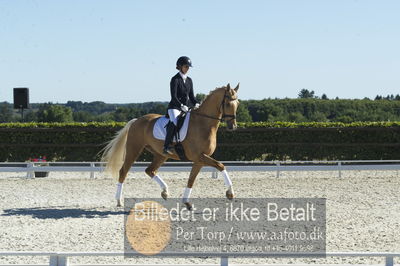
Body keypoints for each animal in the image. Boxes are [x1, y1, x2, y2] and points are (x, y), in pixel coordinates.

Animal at [101, 83, 239, 210]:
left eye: (237, 104)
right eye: (227, 104)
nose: (233, 127)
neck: (203, 123)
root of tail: (136, 120)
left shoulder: (200, 160)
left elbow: (191, 179)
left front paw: (187, 203)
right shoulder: (199, 157)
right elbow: (220, 165)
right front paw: (230, 193)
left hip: (161, 154)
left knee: (150, 170)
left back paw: (165, 192)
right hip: (133, 150)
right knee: (123, 172)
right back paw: (119, 201)